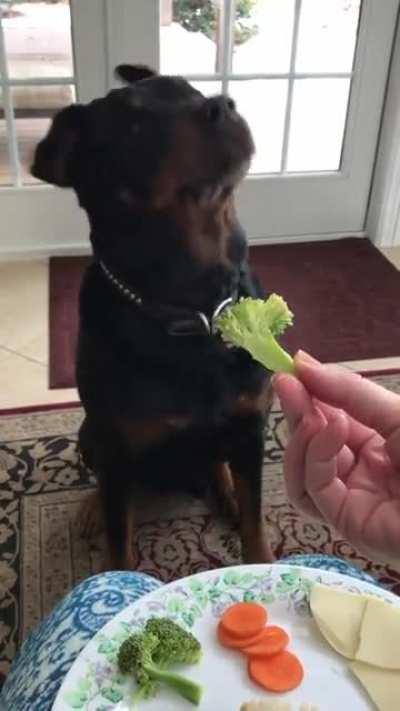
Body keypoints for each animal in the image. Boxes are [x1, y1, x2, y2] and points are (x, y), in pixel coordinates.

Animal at [32, 64, 274, 572]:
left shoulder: (251, 426)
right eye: (133, 126)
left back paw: (224, 490)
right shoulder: (118, 446)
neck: (196, 308)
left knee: (217, 463)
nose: (222, 104)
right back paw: (88, 510)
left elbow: (255, 522)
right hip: (90, 434)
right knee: (102, 480)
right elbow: (119, 541)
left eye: (191, 90)